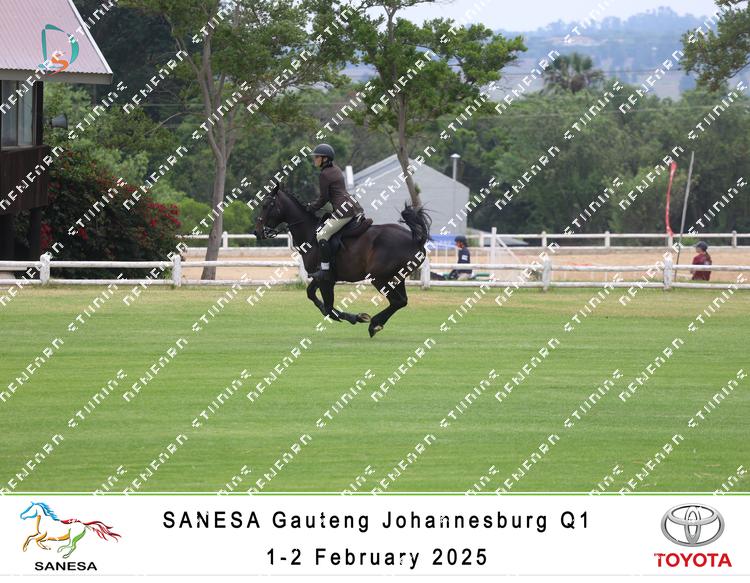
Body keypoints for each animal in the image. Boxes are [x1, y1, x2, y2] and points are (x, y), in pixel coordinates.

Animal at [254, 185, 432, 337]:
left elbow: (328, 305)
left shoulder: (326, 279)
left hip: (380, 278)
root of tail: (415, 240)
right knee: (401, 301)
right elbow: (312, 295)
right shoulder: (321, 277)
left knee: (397, 301)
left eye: (266, 205)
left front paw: (355, 317)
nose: (257, 232)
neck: (310, 233)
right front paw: (350, 317)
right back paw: (376, 324)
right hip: (396, 278)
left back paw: (374, 323)